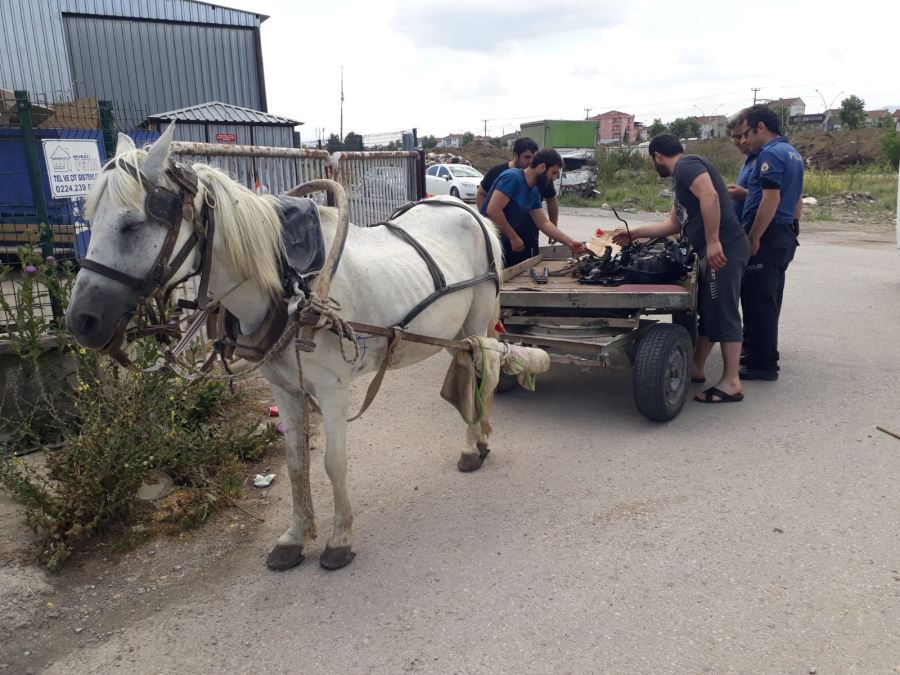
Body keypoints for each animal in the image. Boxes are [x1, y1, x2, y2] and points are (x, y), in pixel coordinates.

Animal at [68, 127, 506, 572]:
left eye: (132, 224)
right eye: (91, 220)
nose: (81, 322)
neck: (288, 286)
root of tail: (469, 211)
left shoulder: (333, 389)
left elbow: (333, 464)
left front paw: (339, 540)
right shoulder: (285, 388)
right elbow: (297, 463)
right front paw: (295, 537)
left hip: (475, 325)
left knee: (480, 368)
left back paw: (472, 447)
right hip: (455, 334)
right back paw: (479, 440)